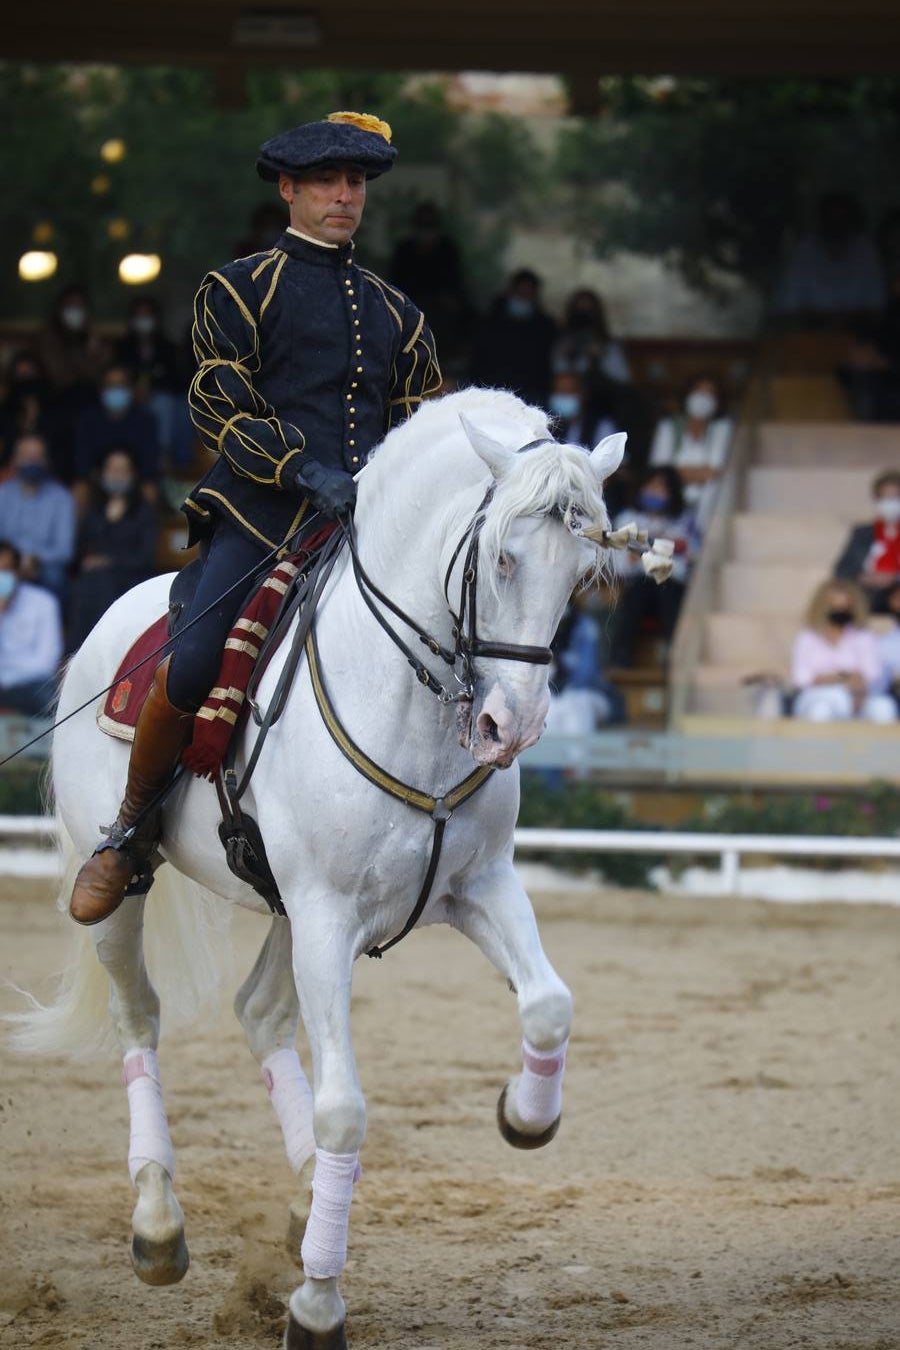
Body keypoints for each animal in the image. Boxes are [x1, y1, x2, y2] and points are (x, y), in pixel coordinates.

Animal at [12, 386, 626, 1344]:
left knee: (260, 1014)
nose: (511, 726)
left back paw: (308, 1204)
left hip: (288, 912)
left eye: (581, 572)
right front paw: (316, 1303)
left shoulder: (475, 886)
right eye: (502, 557)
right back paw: (158, 1223)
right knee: (139, 1018)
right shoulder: (330, 915)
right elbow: (344, 1111)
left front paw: (524, 1119)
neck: (407, 700)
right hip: (134, 897)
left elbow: (551, 1006)